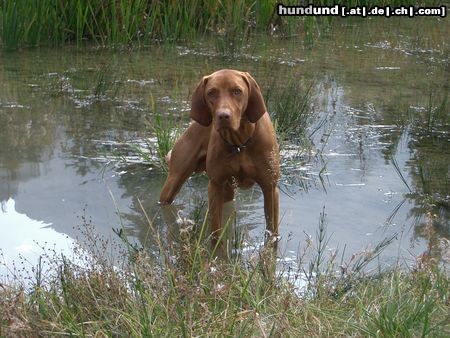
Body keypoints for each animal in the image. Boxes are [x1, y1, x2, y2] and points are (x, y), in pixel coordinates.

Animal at [158, 69, 278, 243]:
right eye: (211, 93)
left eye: (237, 91)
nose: (223, 116)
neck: (239, 144)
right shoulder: (215, 185)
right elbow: (216, 232)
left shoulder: (270, 188)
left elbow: (272, 233)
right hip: (174, 182)